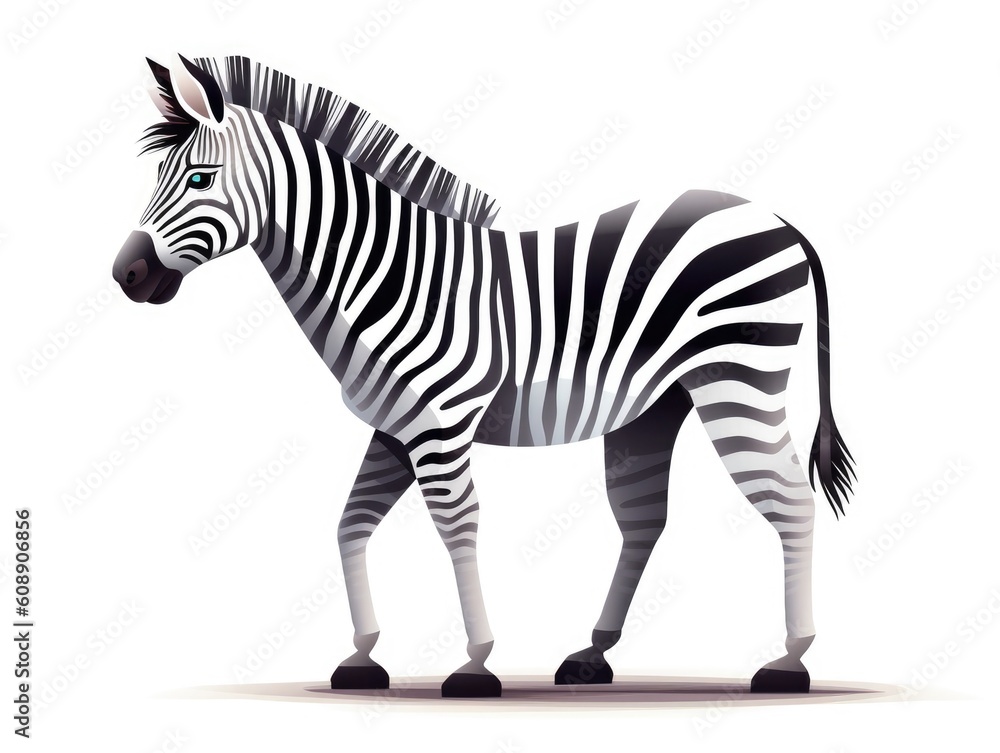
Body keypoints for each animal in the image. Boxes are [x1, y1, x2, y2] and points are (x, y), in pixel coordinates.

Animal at [112, 55, 855, 698]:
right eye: (158, 178)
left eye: (199, 179)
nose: (126, 275)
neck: (383, 274)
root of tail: (777, 219)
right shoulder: (394, 427)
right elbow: (351, 523)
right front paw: (361, 654)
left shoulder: (441, 424)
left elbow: (456, 526)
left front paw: (474, 664)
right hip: (656, 405)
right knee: (644, 518)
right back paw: (593, 654)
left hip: (738, 379)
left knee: (790, 499)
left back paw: (789, 661)